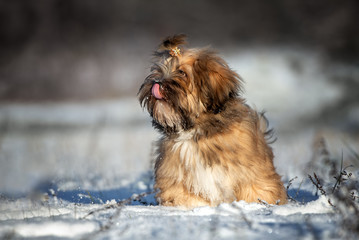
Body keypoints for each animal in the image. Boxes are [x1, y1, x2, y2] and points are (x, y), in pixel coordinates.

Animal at [139, 34, 288, 208]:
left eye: (182, 73)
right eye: (158, 71)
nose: (157, 83)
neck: (196, 132)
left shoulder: (252, 175)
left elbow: (257, 190)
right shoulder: (176, 179)